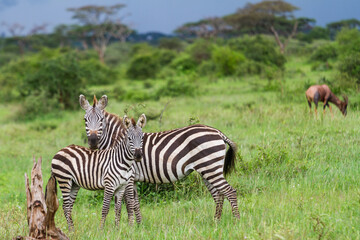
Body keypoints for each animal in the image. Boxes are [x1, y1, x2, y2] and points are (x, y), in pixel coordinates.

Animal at [80, 94, 240, 220]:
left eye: (101, 120)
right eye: (85, 120)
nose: (92, 141)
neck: (119, 143)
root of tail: (218, 132)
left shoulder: (129, 177)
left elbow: (129, 202)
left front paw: (132, 226)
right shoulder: (131, 178)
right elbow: (135, 202)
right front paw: (139, 225)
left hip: (210, 167)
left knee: (230, 192)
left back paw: (236, 221)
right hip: (206, 169)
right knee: (218, 195)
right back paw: (216, 222)